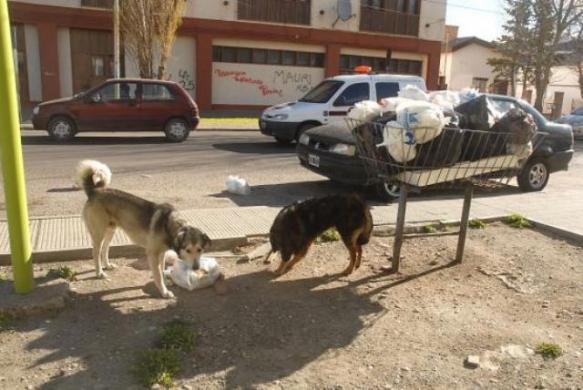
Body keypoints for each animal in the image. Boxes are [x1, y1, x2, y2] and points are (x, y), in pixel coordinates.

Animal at [76, 159, 211, 298]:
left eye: (200, 249)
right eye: (188, 250)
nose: (196, 268)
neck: (168, 224)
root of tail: (95, 191)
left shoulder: (161, 253)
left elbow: (162, 270)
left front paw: (166, 283)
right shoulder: (152, 254)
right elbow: (158, 275)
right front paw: (164, 292)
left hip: (110, 230)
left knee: (105, 248)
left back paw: (107, 265)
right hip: (99, 232)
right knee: (96, 252)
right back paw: (99, 273)